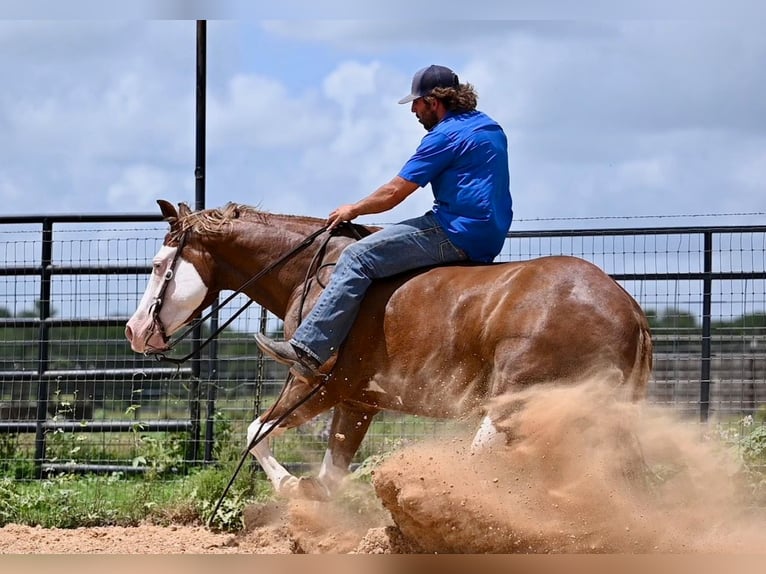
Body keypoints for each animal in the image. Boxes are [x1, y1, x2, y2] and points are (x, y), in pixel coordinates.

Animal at [126, 200, 656, 502]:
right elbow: (332, 471)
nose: (134, 330)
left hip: (517, 405)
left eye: (159, 264)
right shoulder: (358, 402)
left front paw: (292, 488)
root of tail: (629, 310)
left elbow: (257, 432)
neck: (313, 272)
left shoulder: (315, 382)